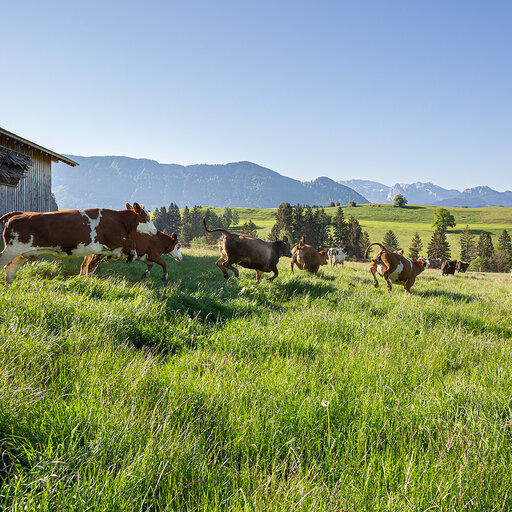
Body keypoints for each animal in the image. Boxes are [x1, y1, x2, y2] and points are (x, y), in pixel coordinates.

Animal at [0, 203, 156, 284]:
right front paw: (132, 256)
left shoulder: (101, 249)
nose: (155, 230)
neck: (119, 220)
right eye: (147, 217)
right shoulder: (113, 239)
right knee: (4, 264)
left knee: (10, 269)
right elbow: (131, 242)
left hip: (21, 253)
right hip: (12, 249)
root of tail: (20, 214)